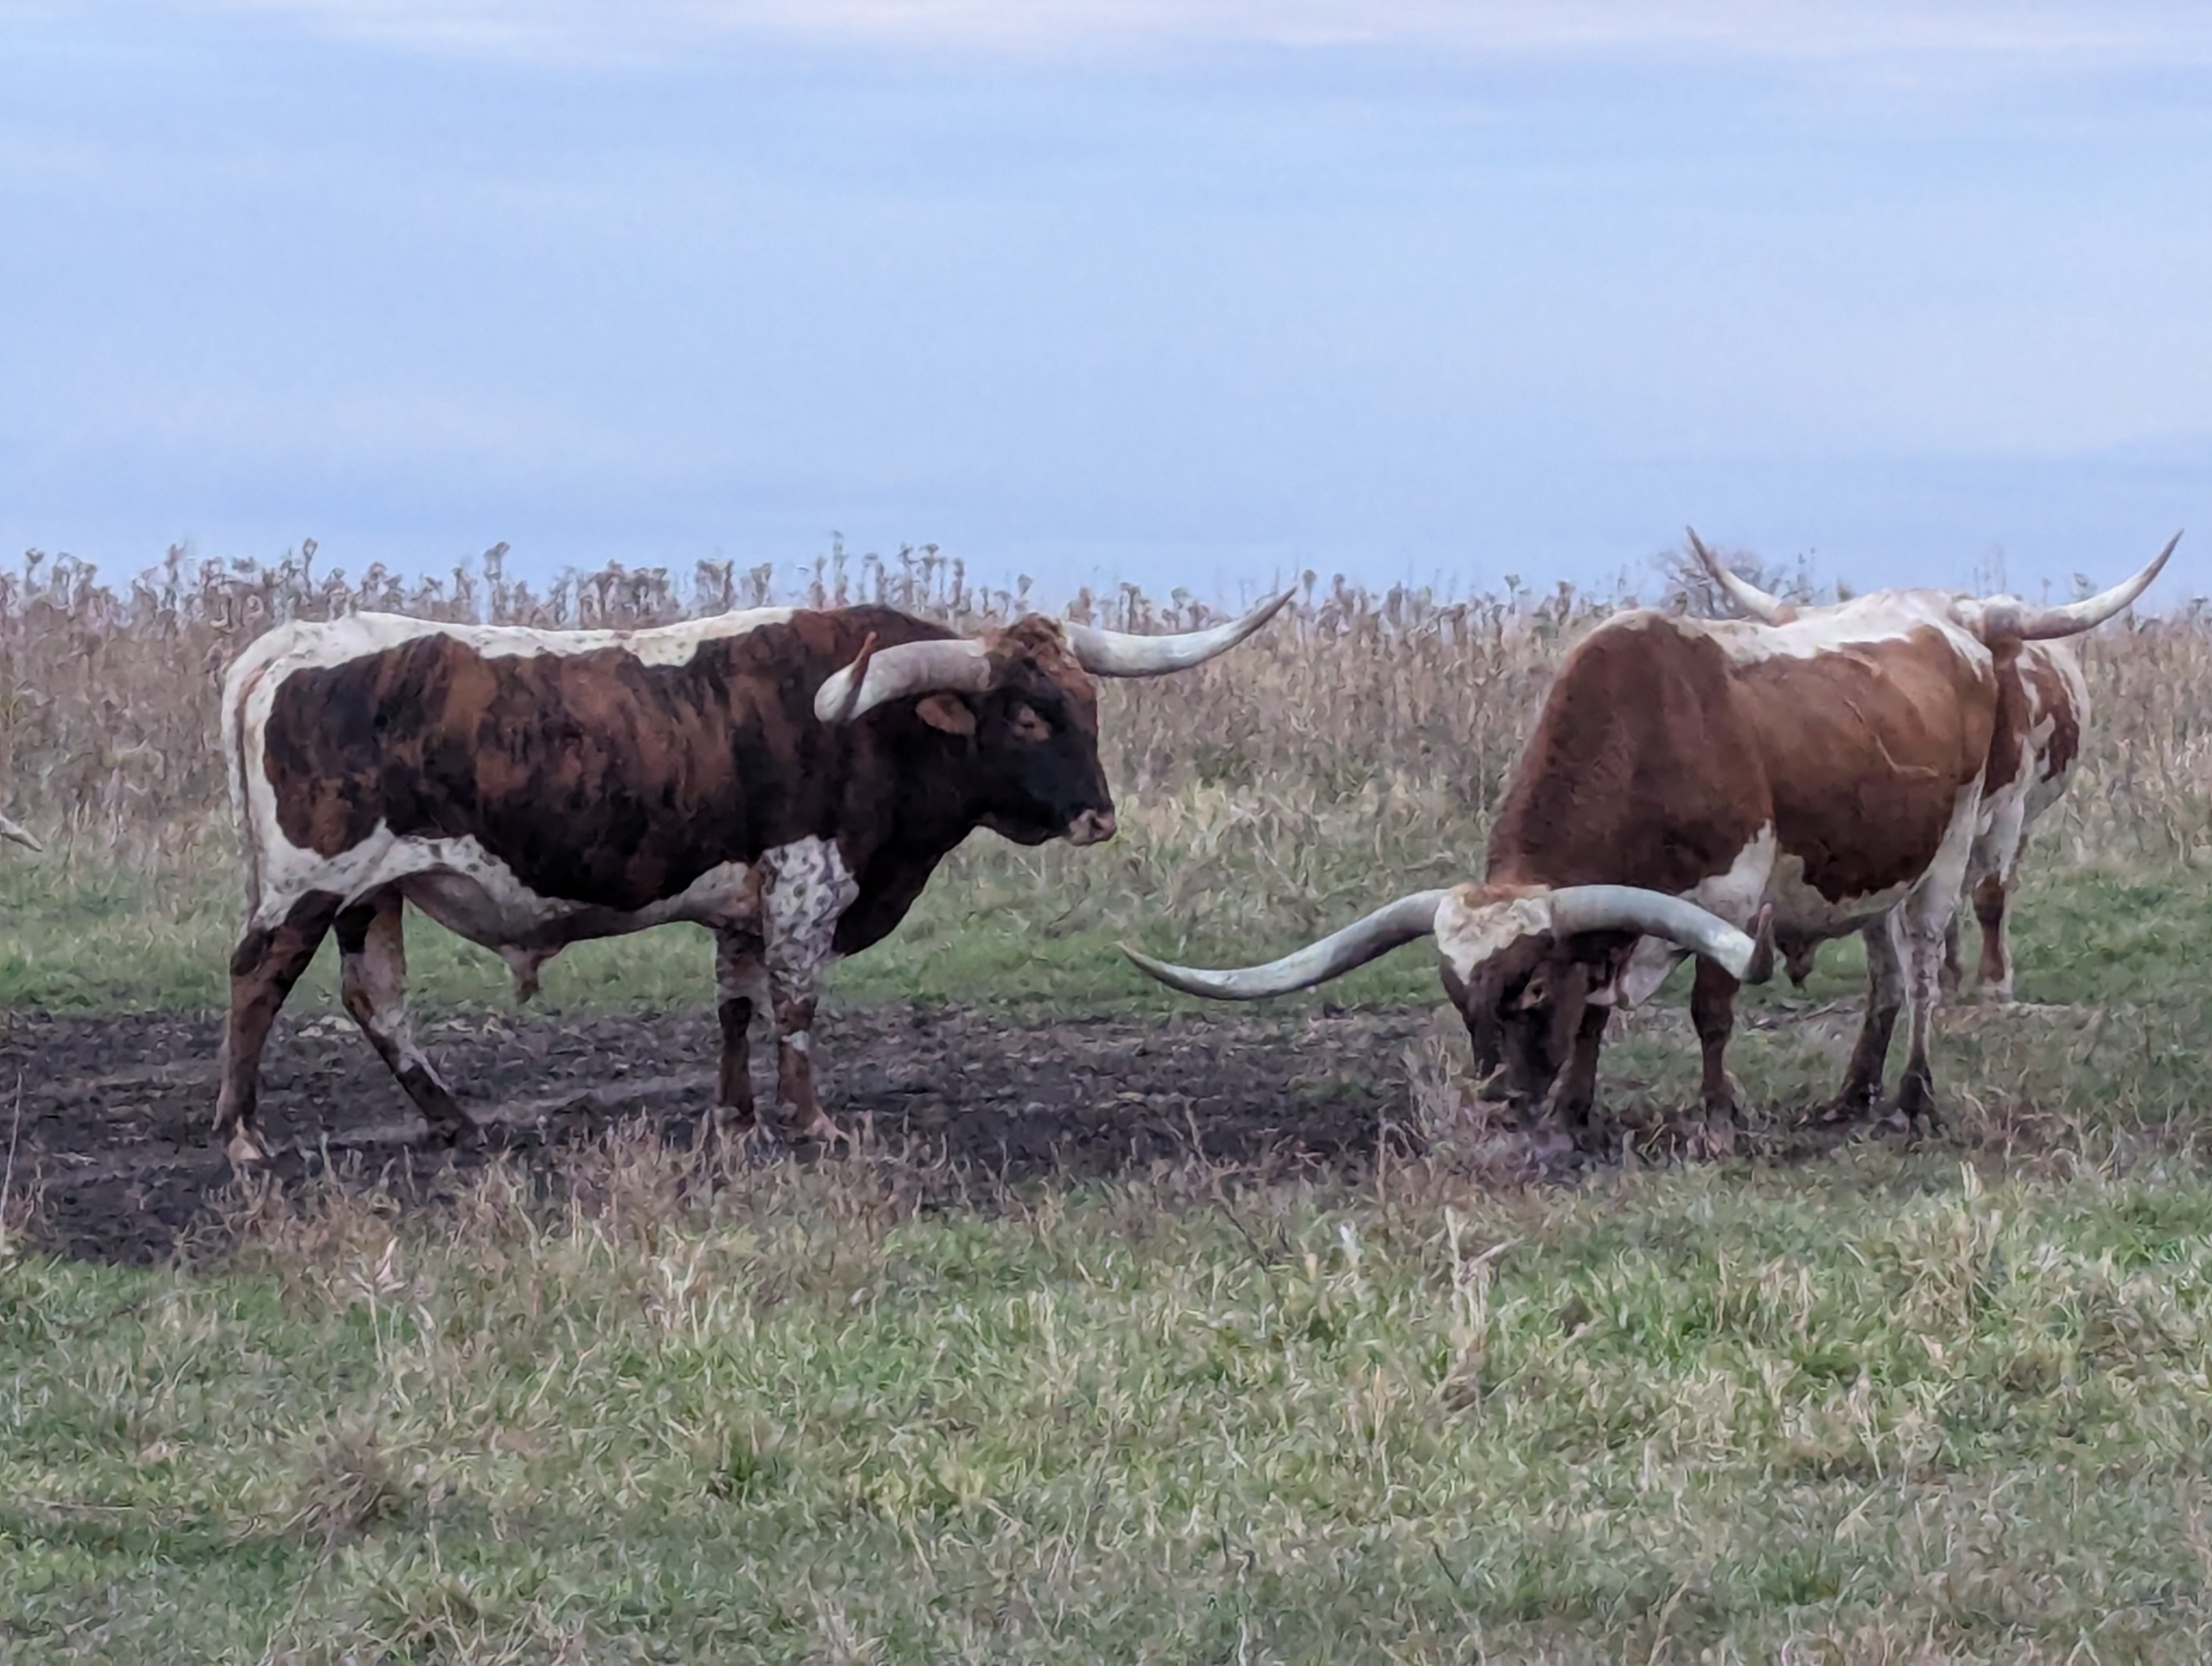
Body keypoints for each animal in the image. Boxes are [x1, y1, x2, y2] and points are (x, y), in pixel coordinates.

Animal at [216, 591, 1290, 1167]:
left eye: (1085, 702)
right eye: (1027, 715)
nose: (1098, 816)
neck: (874, 730)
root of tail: (290, 643)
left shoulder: (741, 902)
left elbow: (733, 1003)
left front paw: (734, 1117)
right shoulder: (807, 884)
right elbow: (794, 1004)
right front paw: (810, 1120)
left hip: (372, 895)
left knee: (376, 999)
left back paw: (453, 1121)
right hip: (310, 885)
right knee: (257, 981)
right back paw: (243, 1136)